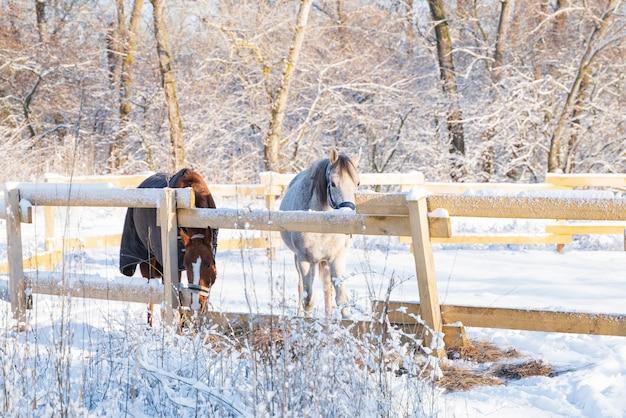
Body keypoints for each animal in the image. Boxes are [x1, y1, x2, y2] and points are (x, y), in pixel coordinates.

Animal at [119, 167, 217, 326]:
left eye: (209, 264)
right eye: (187, 265)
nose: (197, 304)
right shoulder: (174, 268)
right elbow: (178, 305)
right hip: (149, 264)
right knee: (150, 300)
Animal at [280, 149, 358, 316]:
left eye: (357, 183)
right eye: (333, 183)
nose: (347, 214)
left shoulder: (336, 259)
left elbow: (341, 300)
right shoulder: (305, 260)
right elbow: (308, 301)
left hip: (324, 262)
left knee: (327, 290)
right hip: (300, 260)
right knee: (300, 287)